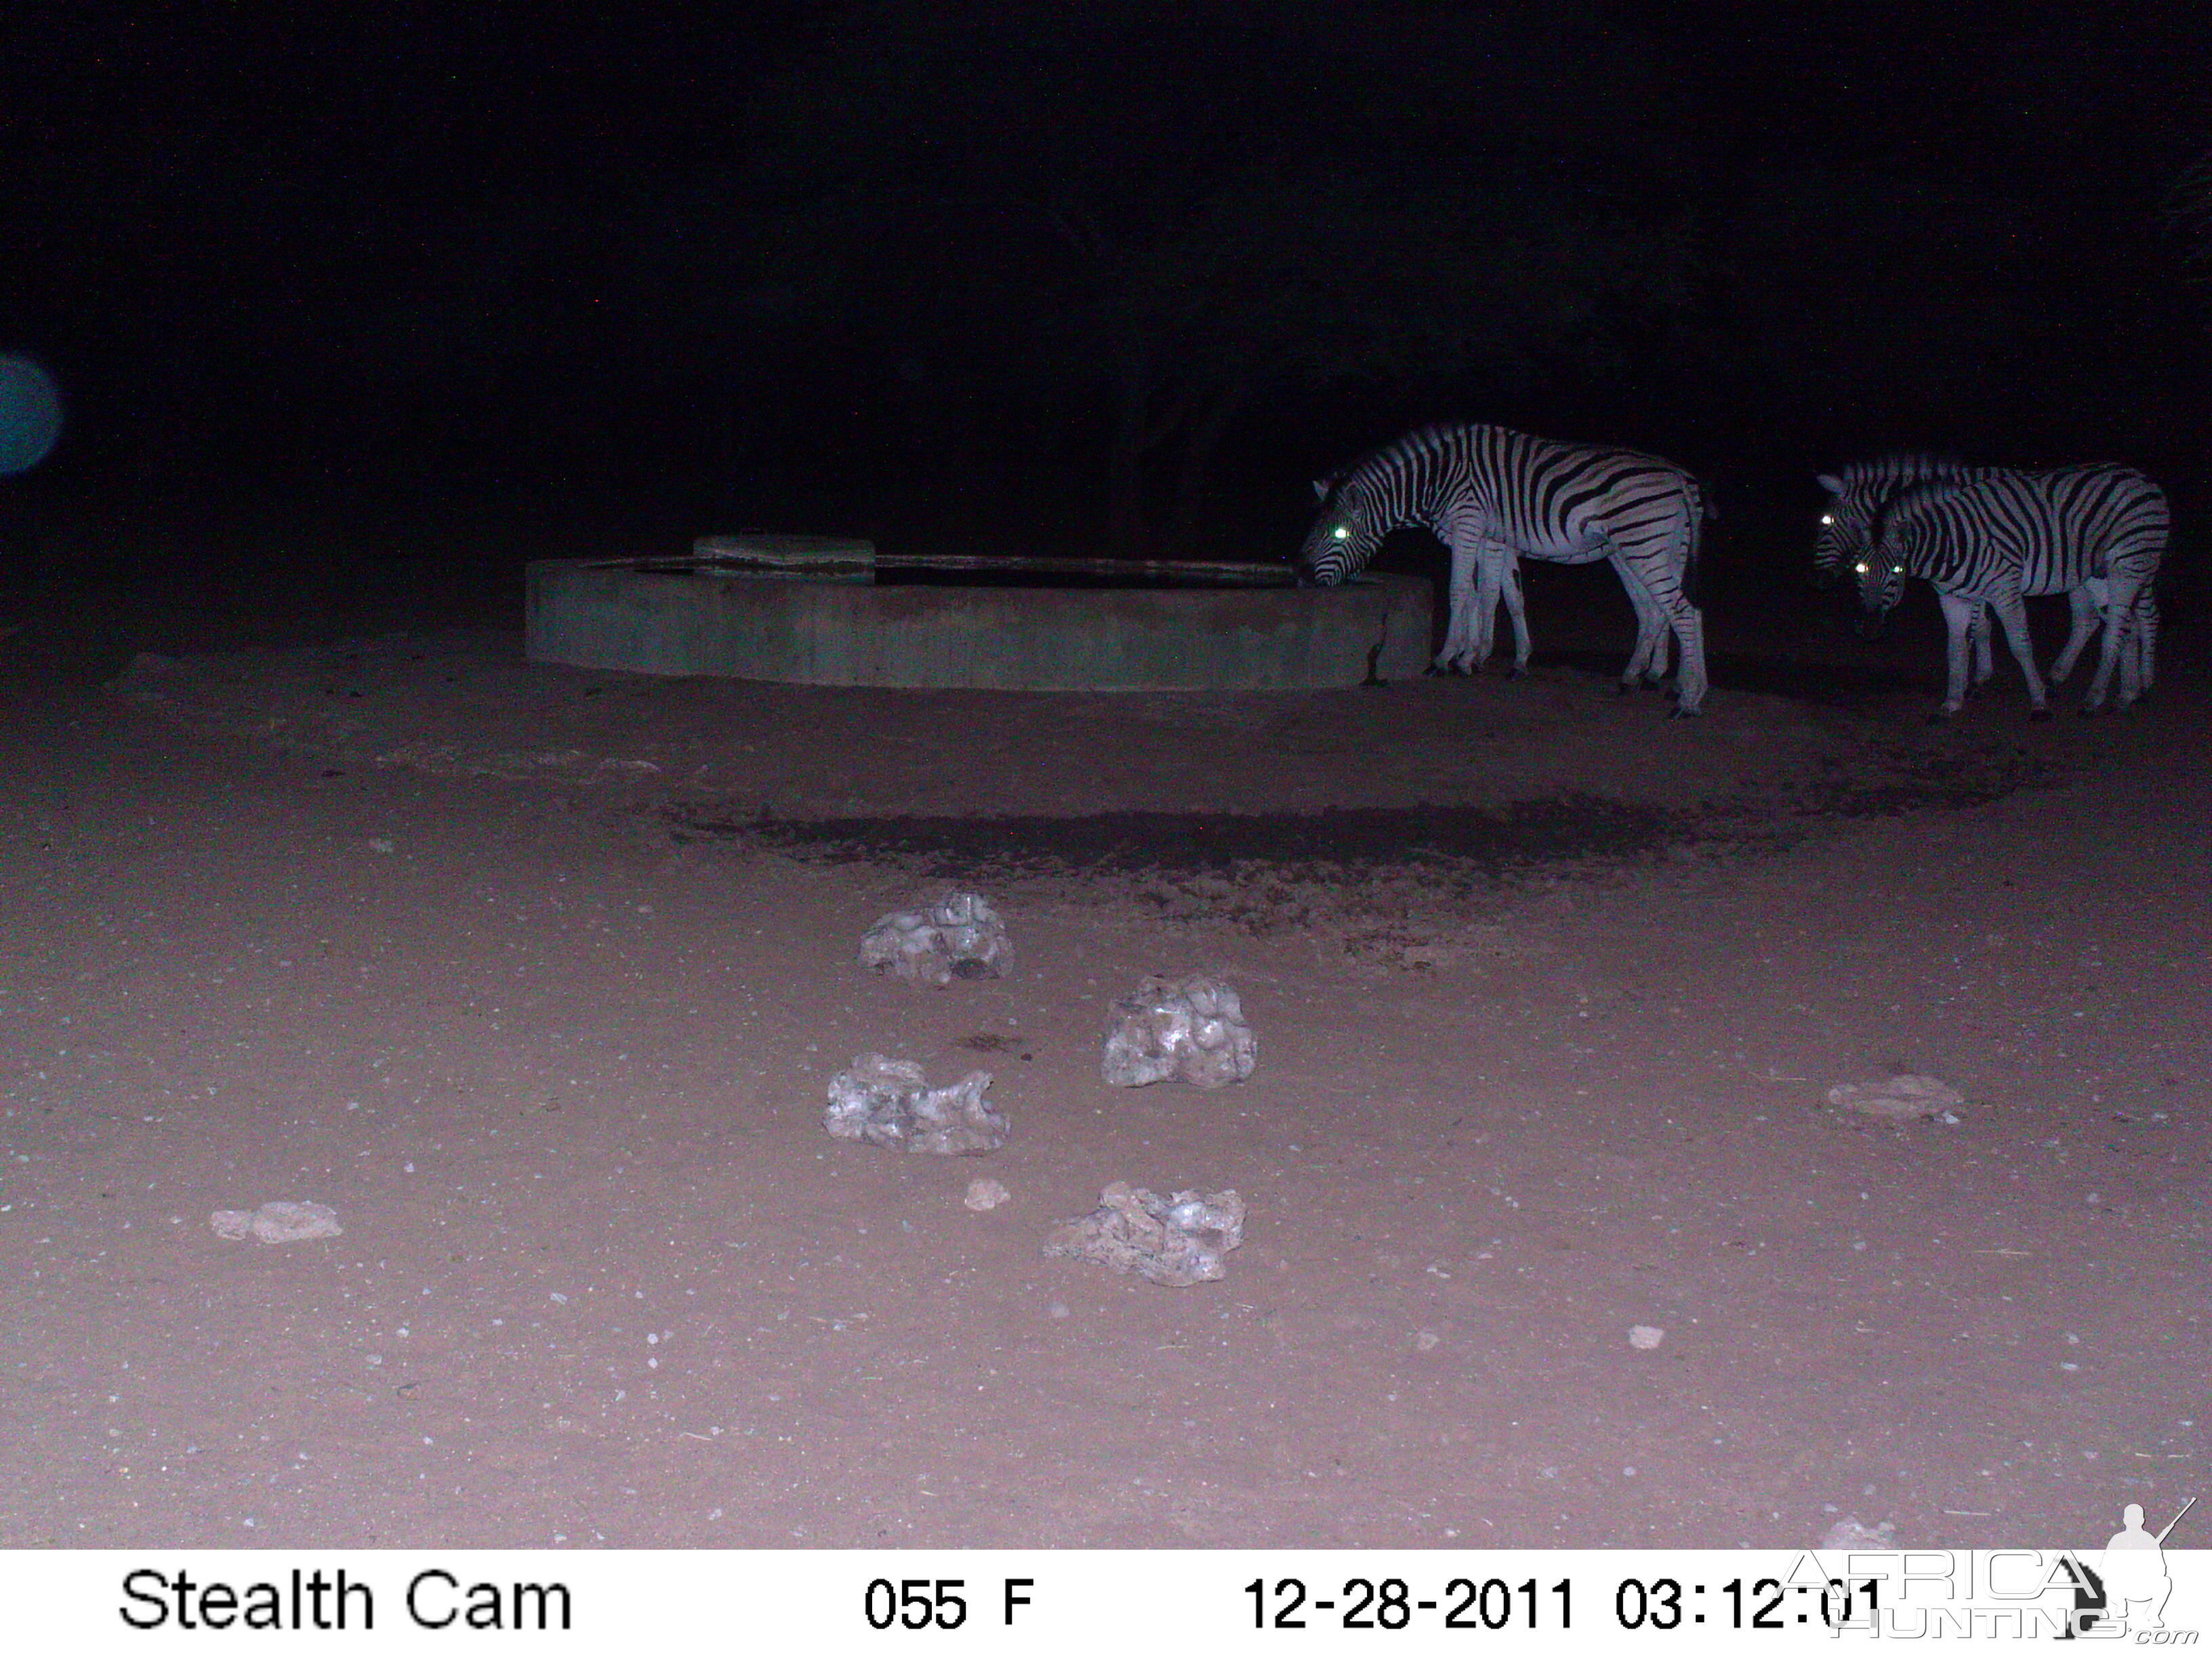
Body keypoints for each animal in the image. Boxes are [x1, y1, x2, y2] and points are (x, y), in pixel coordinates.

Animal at [1292, 422, 1707, 716]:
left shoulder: (1469, 526)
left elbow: (1464, 592)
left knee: (1683, 611)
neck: (1438, 479)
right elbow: (1498, 596)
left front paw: (1449, 659)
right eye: (1314, 530)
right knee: (1656, 611)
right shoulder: (1493, 537)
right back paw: (1642, 677)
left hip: (1644, 545)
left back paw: (1688, 698)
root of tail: (1677, 477)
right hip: (1640, 549)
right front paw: (1485, 657)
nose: (1304, 579)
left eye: (1340, 534)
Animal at [1814, 457, 2158, 703]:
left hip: (2128, 561)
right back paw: (2078, 678)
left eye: (1826, 521)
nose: (1818, 579)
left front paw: (1974, 679)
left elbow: (1978, 626)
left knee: (2145, 618)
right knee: (2099, 621)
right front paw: (1975, 675)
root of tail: (2140, 477)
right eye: (1860, 569)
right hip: (2087, 573)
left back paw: (2142, 684)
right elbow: (1980, 627)